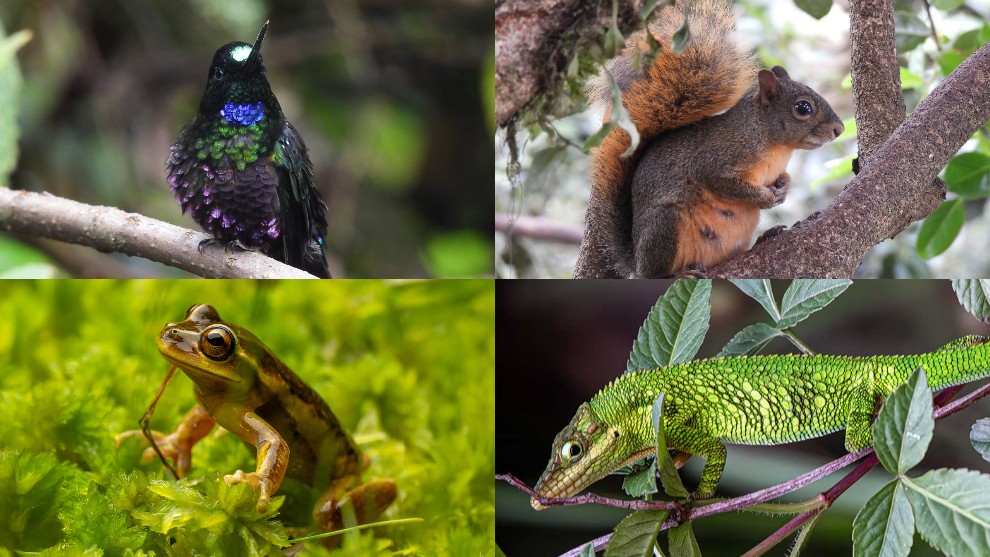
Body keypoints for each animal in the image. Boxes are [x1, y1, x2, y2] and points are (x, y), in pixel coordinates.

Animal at [576, 0, 848, 278]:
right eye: (803, 108)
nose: (839, 129)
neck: (775, 145)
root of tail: (636, 261)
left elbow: (783, 178)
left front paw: (784, 186)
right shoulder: (716, 158)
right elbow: (718, 180)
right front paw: (765, 198)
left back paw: (766, 237)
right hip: (665, 223)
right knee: (654, 273)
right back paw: (677, 273)